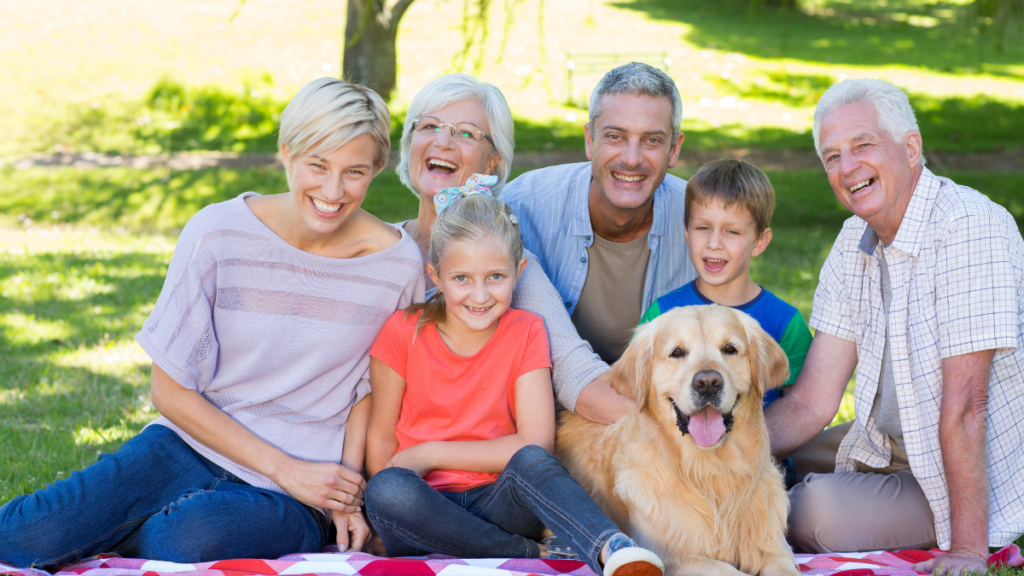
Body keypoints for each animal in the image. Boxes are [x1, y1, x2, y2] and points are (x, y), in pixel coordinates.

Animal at [557, 305, 794, 573]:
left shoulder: (775, 548)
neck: (711, 471)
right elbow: (725, 569)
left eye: (730, 349)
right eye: (677, 352)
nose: (708, 383)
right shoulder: (674, 559)